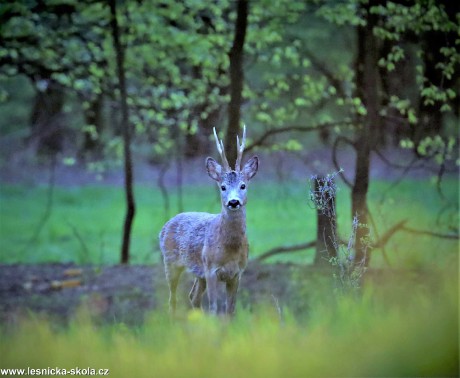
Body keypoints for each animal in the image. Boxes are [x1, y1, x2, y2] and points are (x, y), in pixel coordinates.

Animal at [158, 125, 258, 314]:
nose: (234, 202)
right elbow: (213, 308)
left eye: (243, 185)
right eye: (223, 187)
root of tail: (165, 226)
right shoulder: (211, 269)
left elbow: (230, 310)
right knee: (172, 299)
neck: (230, 248)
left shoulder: (237, 273)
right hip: (171, 261)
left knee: (193, 296)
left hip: (199, 272)